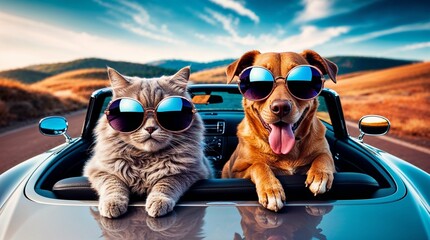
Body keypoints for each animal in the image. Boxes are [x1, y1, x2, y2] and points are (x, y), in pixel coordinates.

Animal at [83, 66, 212, 218]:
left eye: (169, 113)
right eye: (131, 114)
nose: (150, 128)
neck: (145, 159)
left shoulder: (192, 172)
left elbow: (166, 182)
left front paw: (158, 202)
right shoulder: (97, 170)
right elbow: (113, 183)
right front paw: (112, 204)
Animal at [223, 49, 338, 211]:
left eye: (302, 81)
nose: (281, 107)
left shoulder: (325, 152)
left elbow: (324, 156)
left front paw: (320, 175)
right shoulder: (237, 172)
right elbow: (259, 165)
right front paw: (271, 189)